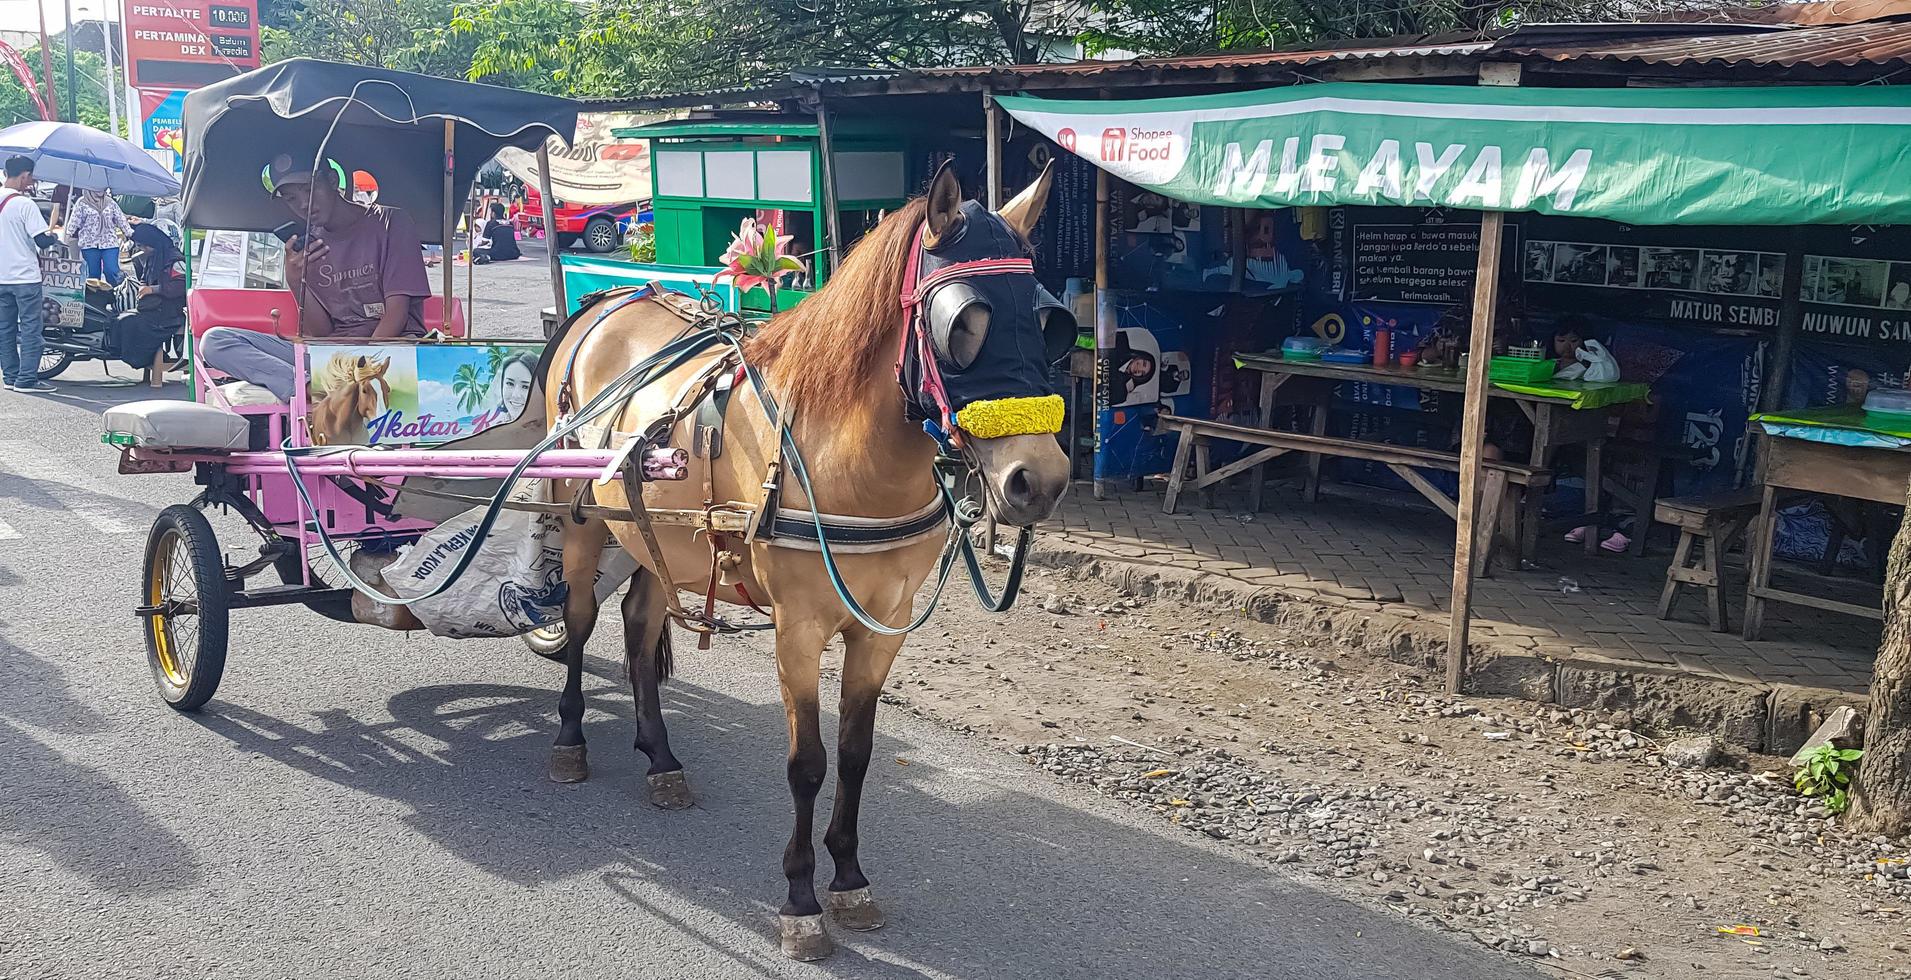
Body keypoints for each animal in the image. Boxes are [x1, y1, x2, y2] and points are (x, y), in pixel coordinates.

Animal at [542, 164, 1077, 958]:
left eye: (1048, 323)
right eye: (964, 326)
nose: (1037, 481)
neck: (846, 457)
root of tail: (607, 302)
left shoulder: (881, 625)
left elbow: (854, 754)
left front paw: (849, 879)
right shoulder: (798, 627)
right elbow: (807, 763)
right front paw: (800, 900)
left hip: (656, 534)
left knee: (639, 624)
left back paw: (661, 759)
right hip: (580, 520)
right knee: (578, 622)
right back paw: (571, 741)